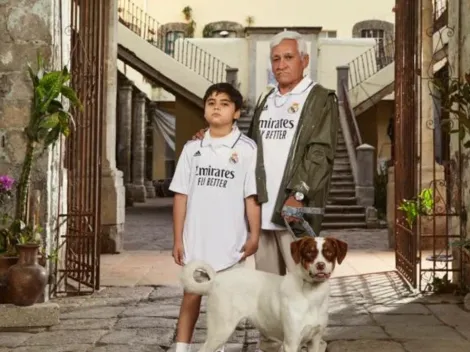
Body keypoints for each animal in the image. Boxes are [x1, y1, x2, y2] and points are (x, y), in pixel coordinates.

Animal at [182, 235, 346, 352]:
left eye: (329, 252)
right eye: (309, 253)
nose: (320, 265)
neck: (311, 295)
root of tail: (215, 280)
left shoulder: (314, 341)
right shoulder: (291, 342)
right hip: (220, 330)